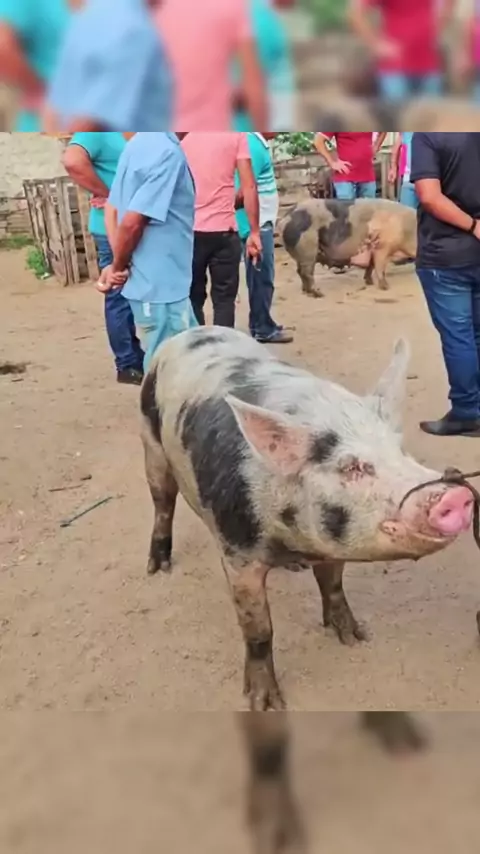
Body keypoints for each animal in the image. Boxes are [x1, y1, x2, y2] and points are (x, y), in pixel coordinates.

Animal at [140, 326, 474, 711]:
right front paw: (265, 704)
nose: (456, 493)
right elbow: (258, 628)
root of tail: (190, 332)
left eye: (400, 450)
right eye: (351, 467)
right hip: (151, 443)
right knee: (162, 503)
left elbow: (332, 584)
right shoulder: (236, 550)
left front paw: (355, 637)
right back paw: (157, 568)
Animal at [280, 198, 417, 297]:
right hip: (308, 249)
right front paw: (385, 287)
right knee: (306, 272)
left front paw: (369, 282)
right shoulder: (383, 246)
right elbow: (379, 266)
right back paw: (318, 294)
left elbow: (371, 265)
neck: (406, 228)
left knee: (299, 271)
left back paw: (305, 291)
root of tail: (286, 217)